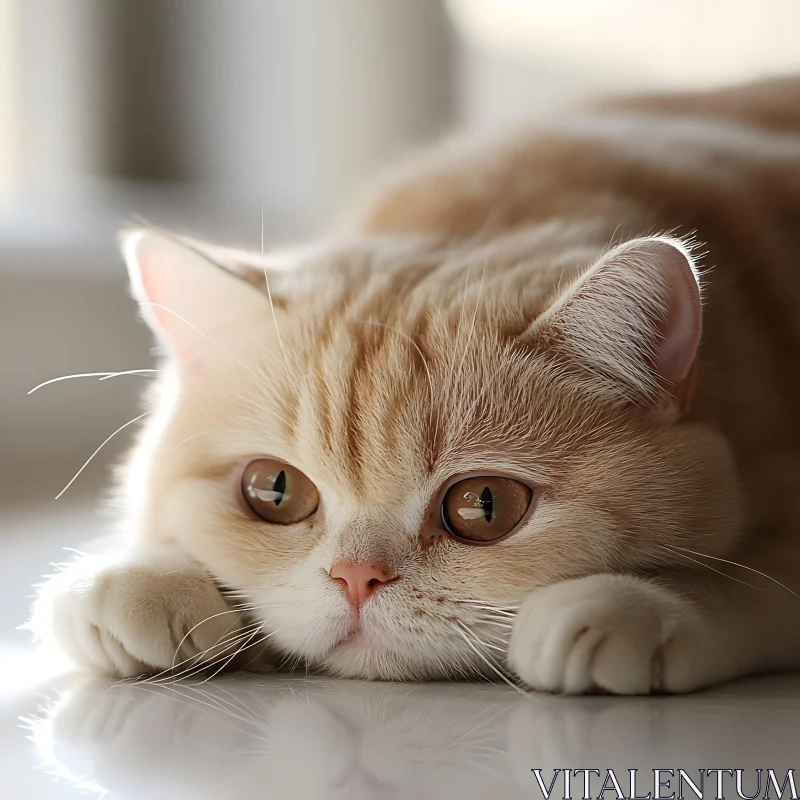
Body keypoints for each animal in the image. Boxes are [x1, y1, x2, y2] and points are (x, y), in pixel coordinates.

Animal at [31, 76, 800, 692]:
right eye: (274, 491)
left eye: (484, 506)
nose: (356, 579)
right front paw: (138, 577)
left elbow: (754, 583)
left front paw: (635, 606)